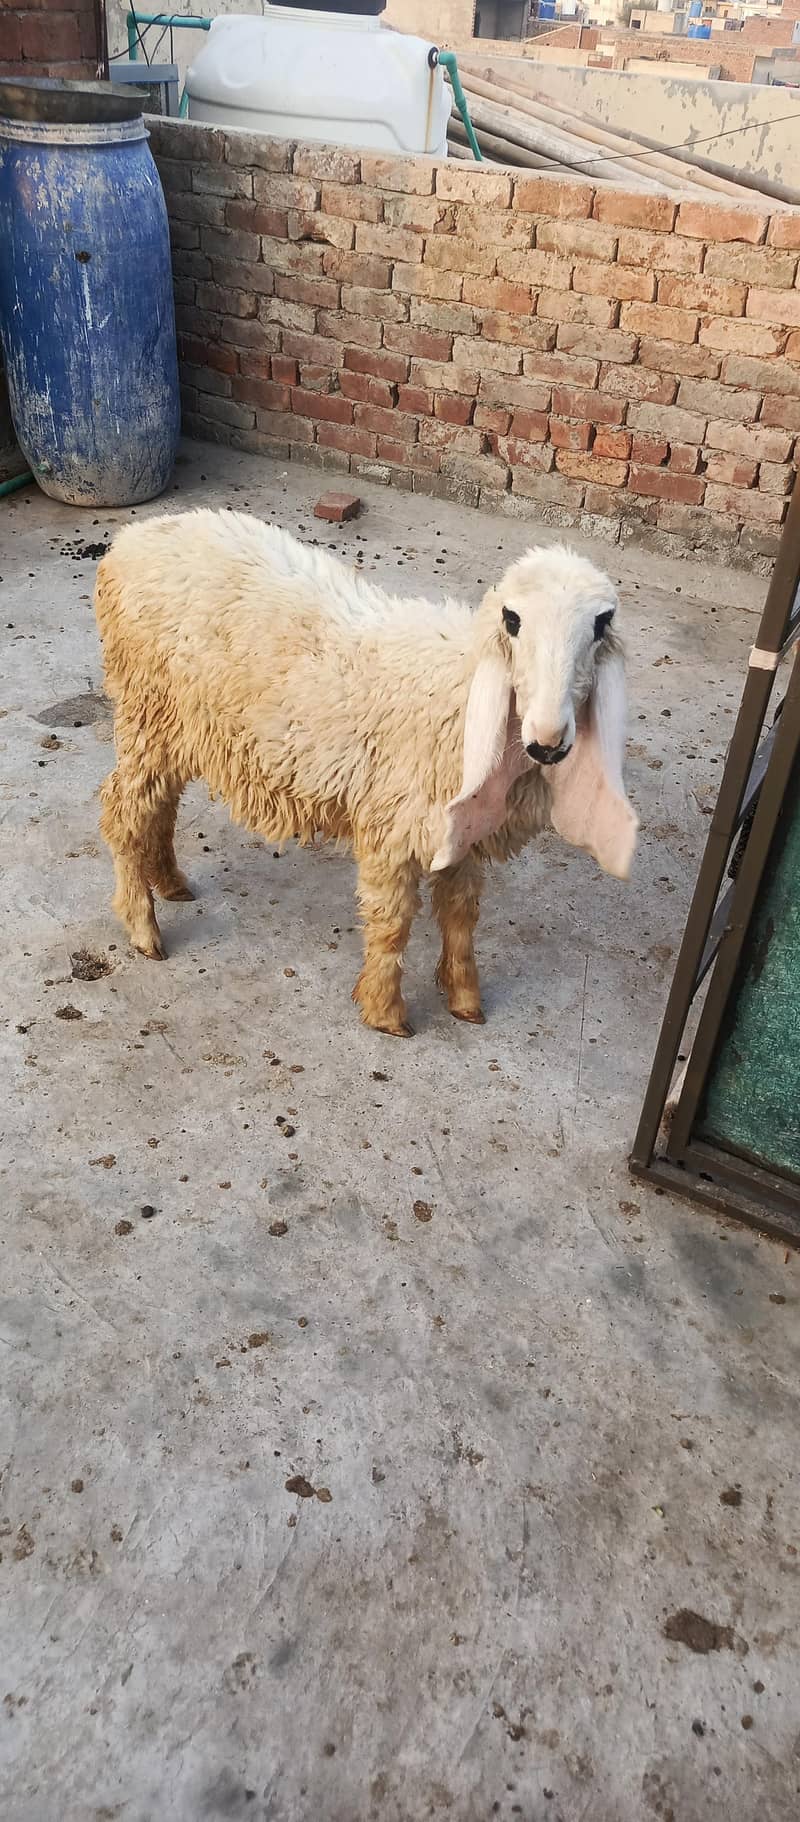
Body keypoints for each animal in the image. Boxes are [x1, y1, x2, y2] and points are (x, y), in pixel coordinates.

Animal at [95, 509, 637, 1037]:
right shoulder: (391, 826)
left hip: (176, 726)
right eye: (512, 619)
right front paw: (386, 1012)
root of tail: (131, 538)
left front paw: (465, 999)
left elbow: (461, 914)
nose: (547, 741)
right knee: (124, 811)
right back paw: (142, 925)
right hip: (145, 707)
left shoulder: (460, 831)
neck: (459, 691)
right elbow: (392, 922)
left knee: (160, 804)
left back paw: (169, 881)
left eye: (601, 625)